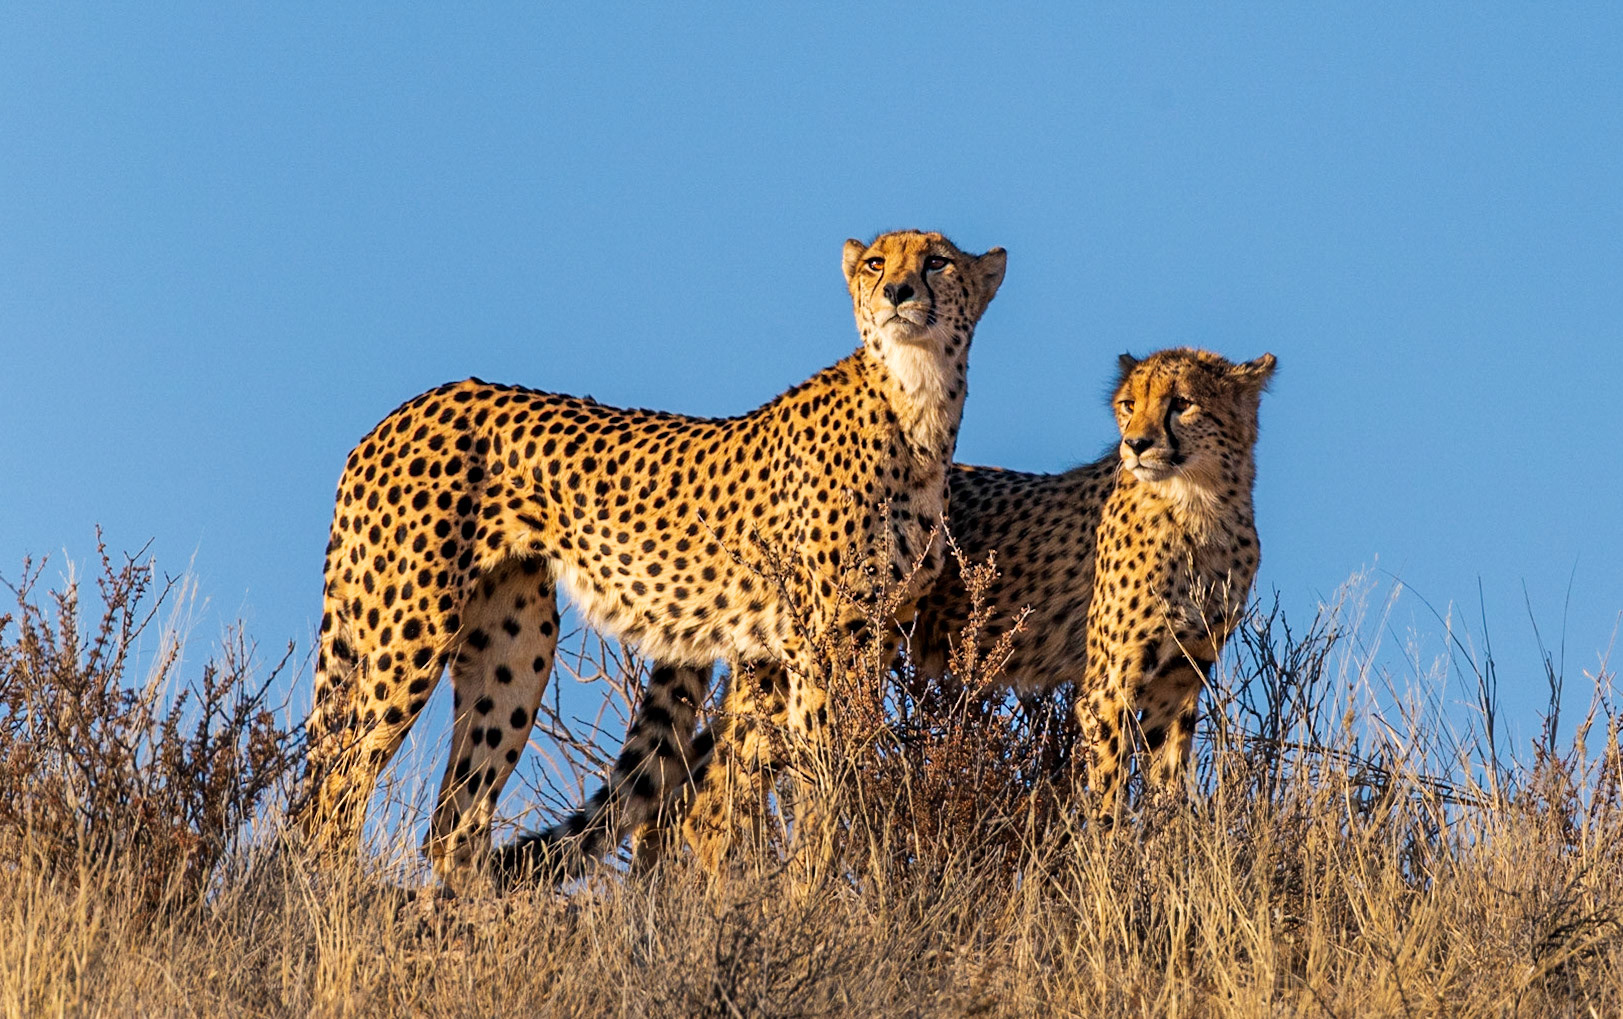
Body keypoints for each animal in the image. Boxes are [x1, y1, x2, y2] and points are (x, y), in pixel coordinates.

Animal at [293, 230, 1007, 890]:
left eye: (937, 262)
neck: (917, 400)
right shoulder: (823, 640)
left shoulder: (844, 640)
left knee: (453, 819)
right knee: (335, 794)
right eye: (876, 263)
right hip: (411, 633)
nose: (898, 293)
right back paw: (337, 905)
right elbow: (821, 774)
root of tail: (404, 410)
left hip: (516, 646)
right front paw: (820, 897)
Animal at [543, 346, 1275, 871]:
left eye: (1181, 404)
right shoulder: (1107, 689)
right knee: (710, 805)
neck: (1202, 505)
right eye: (1128, 403)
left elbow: (1172, 799)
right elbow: (1104, 803)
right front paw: (1109, 884)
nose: (1138, 444)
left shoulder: (1180, 685)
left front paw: (1176, 875)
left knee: (680, 798)